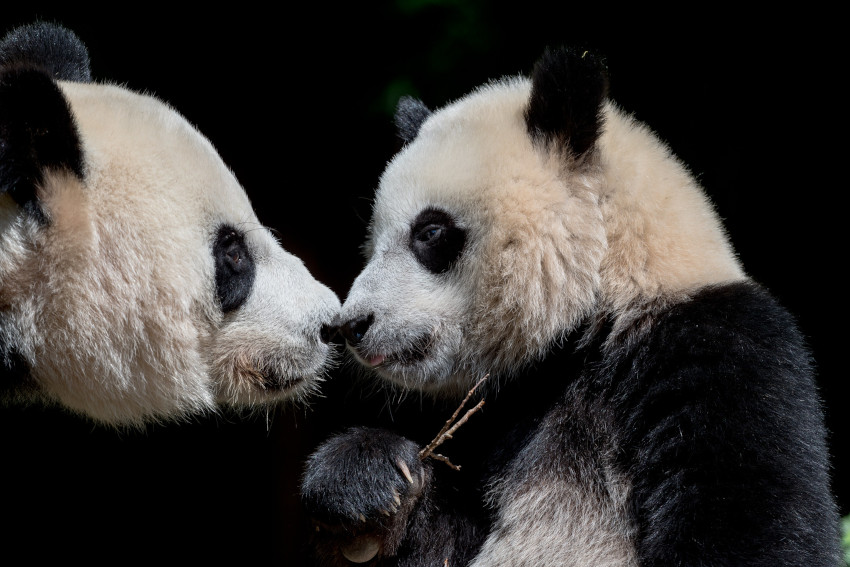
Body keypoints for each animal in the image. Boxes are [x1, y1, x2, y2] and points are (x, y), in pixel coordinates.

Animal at [302, 46, 840, 564]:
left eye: (429, 232)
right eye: (373, 244)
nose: (351, 325)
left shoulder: (716, 350)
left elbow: (749, 526)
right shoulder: (503, 416)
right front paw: (365, 485)